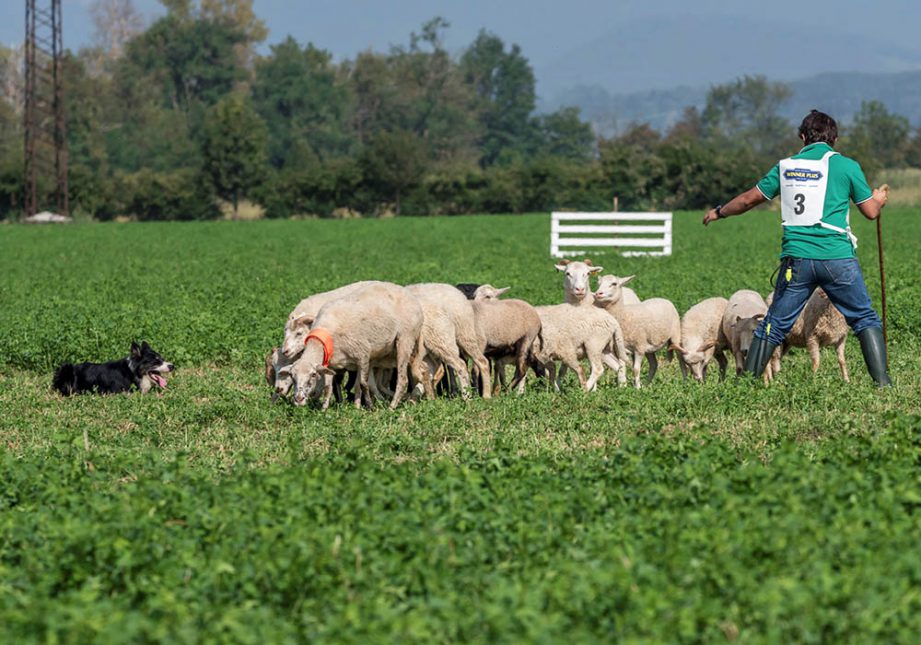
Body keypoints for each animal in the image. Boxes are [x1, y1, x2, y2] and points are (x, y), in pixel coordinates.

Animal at [278, 280, 426, 408]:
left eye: (313, 375)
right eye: (292, 377)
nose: (298, 399)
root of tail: (407, 292)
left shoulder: (363, 355)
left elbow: (363, 383)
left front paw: (369, 406)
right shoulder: (332, 363)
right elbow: (330, 386)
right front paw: (327, 408)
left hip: (405, 340)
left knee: (402, 380)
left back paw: (391, 406)